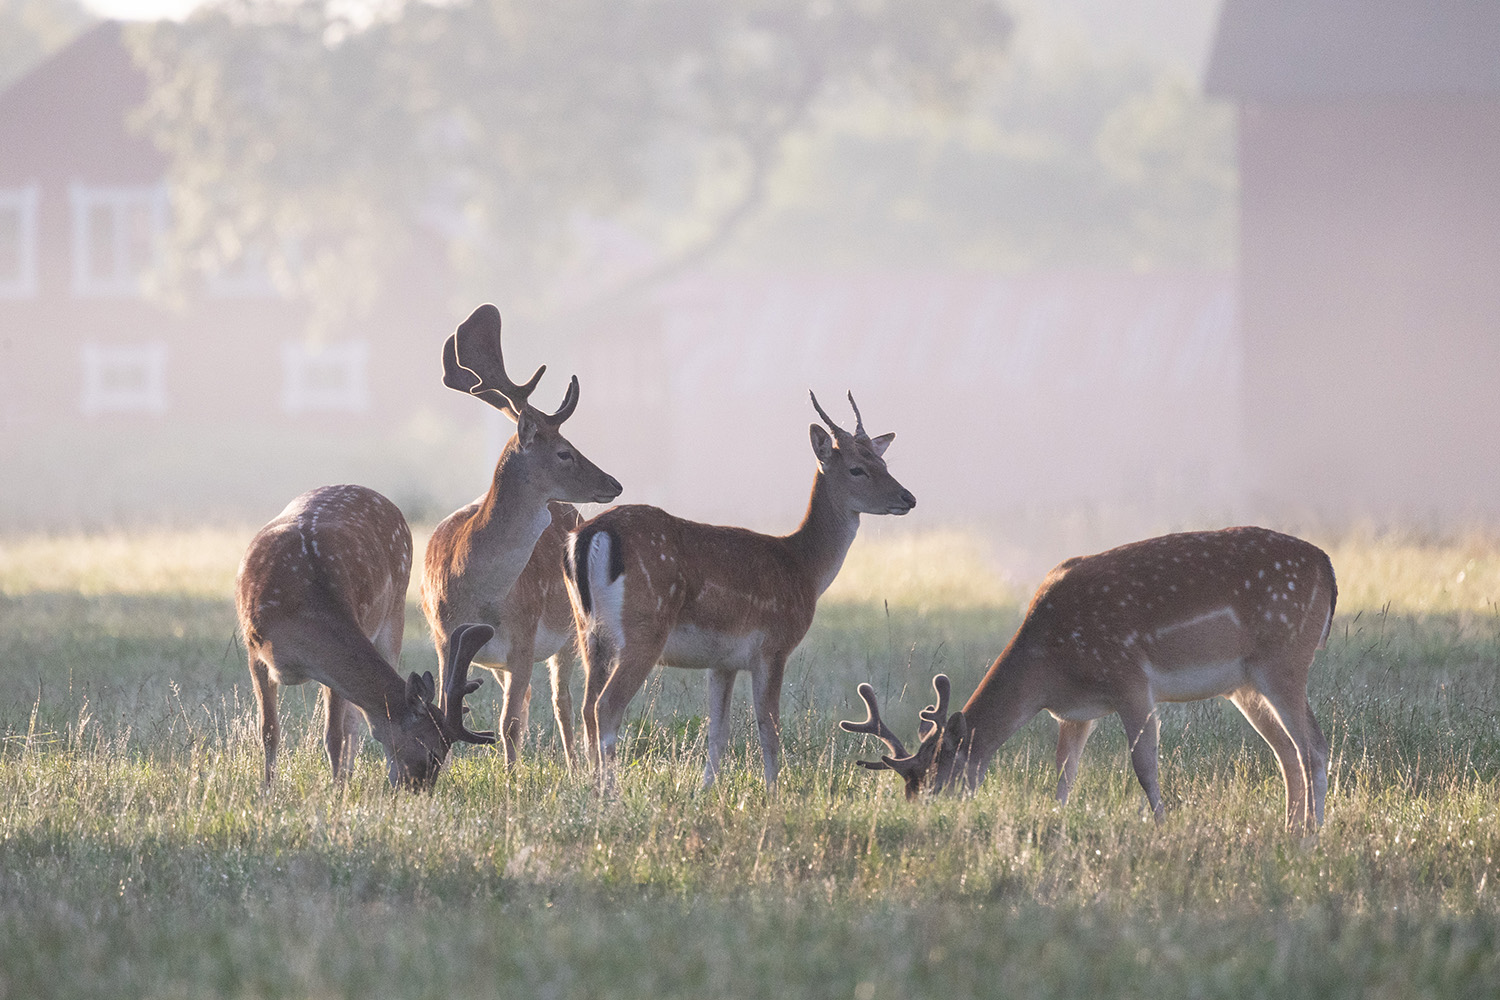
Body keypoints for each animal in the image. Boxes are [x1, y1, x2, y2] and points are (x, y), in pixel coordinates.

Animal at [237, 485, 498, 791]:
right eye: (433, 752)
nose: (417, 790)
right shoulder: (255, 651)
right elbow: (269, 730)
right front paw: (267, 790)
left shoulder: (332, 666)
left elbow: (334, 734)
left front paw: (337, 789)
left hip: (395, 610)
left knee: (352, 720)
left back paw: (347, 776)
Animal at [417, 305, 621, 767]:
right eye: (564, 452)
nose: (614, 483)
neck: (476, 591)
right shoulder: (441, 639)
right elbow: (449, 710)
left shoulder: (525, 638)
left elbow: (510, 724)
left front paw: (513, 778)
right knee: (537, 702)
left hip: (573, 630)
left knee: (565, 704)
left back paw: (577, 767)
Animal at [564, 389, 912, 791]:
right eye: (857, 468)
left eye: (883, 463)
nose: (908, 497)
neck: (804, 568)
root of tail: (589, 535)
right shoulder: (773, 647)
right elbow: (768, 730)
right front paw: (774, 793)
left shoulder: (723, 662)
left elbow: (718, 731)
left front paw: (704, 790)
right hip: (643, 628)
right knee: (606, 706)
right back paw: (611, 792)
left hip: (589, 634)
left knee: (586, 706)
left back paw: (591, 787)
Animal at [840, 527, 1344, 833]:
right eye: (909, 790)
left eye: (936, 782)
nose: (921, 822)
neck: (1049, 665)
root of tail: (1328, 567)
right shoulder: (1075, 712)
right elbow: (1064, 775)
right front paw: (1056, 823)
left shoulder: (1129, 678)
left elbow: (1144, 766)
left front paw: (1162, 827)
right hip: (1246, 683)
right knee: (1286, 751)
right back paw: (1289, 828)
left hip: (1283, 658)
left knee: (1314, 746)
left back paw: (1311, 836)